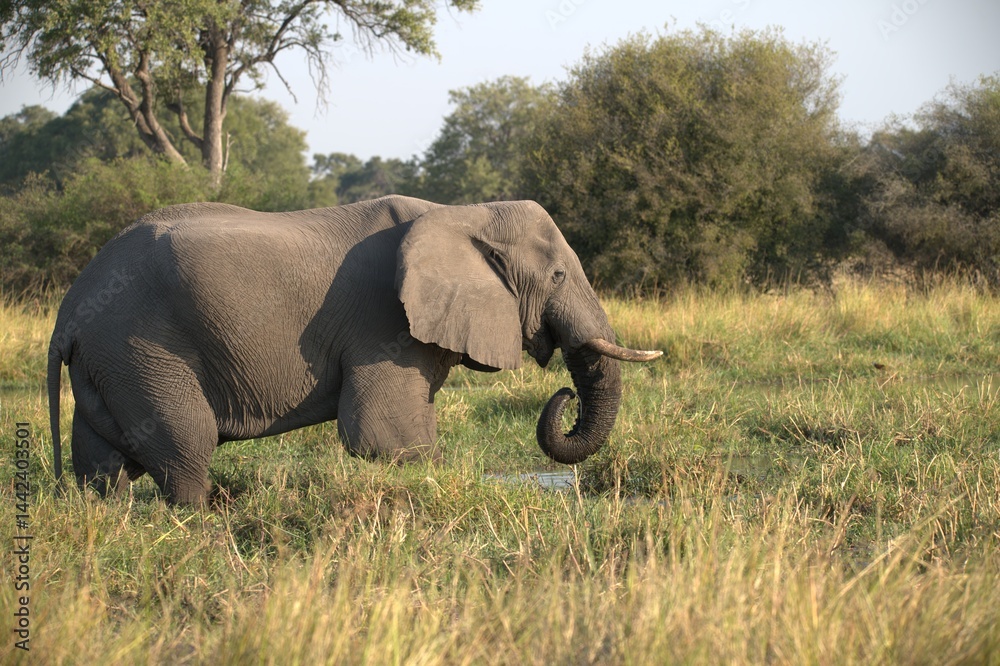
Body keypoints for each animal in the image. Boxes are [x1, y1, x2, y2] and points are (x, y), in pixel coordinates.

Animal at [47, 195, 661, 504]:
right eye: (557, 275)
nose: (562, 394)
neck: (464, 211)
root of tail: (68, 313)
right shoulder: (382, 322)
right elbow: (383, 435)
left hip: (110, 362)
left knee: (101, 465)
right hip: (142, 348)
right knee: (186, 447)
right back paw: (199, 521)